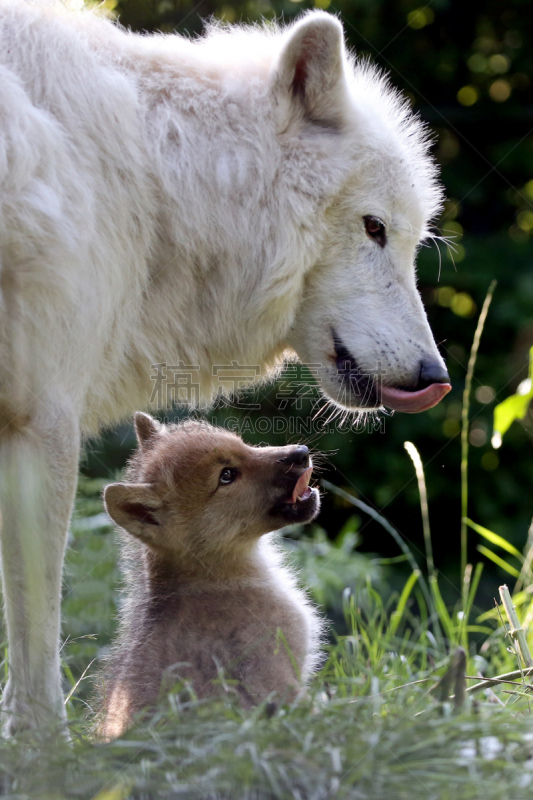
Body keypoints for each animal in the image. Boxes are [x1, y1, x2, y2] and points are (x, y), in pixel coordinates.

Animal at [0, 0, 448, 736]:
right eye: (373, 227)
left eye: (408, 239)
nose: (433, 375)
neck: (154, 175)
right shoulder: (44, 421)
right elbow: (36, 653)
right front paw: (45, 751)